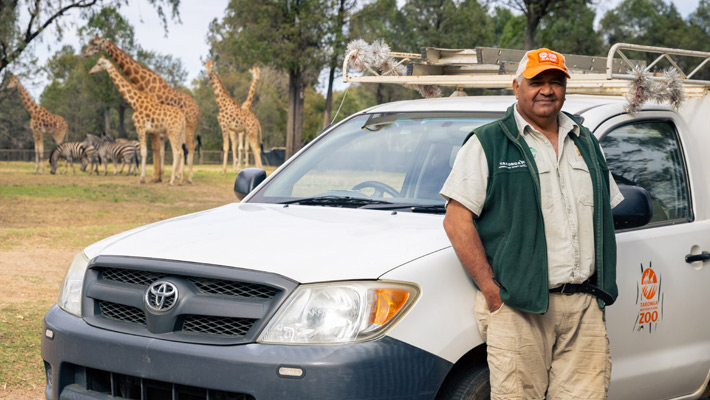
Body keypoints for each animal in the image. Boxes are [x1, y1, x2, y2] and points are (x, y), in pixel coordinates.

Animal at [84, 36, 199, 183]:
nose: (85, 54)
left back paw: (186, 178)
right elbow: (157, 150)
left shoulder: (145, 128)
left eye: (95, 43)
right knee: (183, 149)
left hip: (188, 127)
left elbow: (150, 150)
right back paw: (180, 177)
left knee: (188, 147)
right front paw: (157, 176)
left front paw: (149, 178)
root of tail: (197, 107)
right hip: (179, 131)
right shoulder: (155, 130)